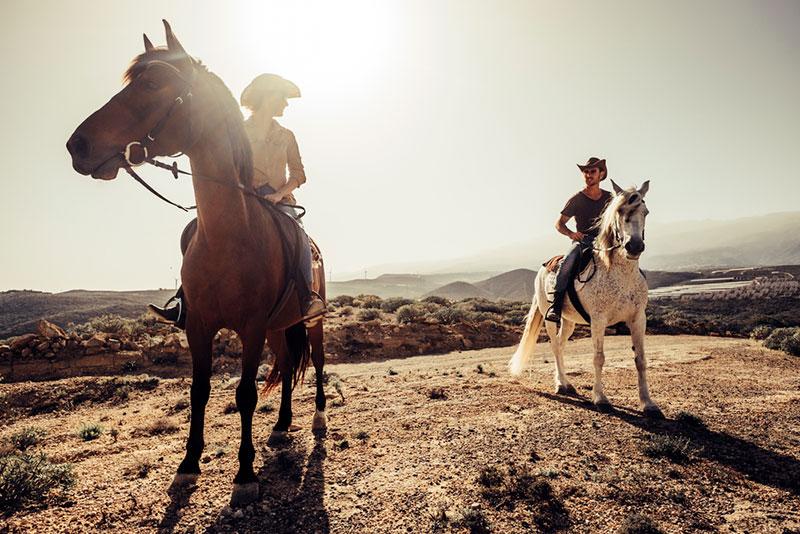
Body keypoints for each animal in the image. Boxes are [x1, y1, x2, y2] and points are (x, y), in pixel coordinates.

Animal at [65, 21, 326, 506]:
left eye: (152, 83)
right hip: (280, 326)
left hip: (310, 320)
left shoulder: (251, 327)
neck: (229, 237)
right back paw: (282, 425)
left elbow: (244, 394)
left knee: (315, 362)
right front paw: (187, 466)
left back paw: (317, 419)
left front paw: (244, 475)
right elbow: (199, 391)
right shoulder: (200, 325)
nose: (78, 145)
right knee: (286, 363)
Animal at [510, 180, 664, 418]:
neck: (618, 274)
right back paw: (561, 385)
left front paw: (648, 404)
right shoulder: (598, 321)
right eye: (620, 212)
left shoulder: (638, 319)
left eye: (645, 212)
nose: (635, 246)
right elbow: (598, 357)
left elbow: (640, 359)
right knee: (554, 346)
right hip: (549, 317)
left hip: (569, 322)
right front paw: (600, 399)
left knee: (561, 345)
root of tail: (543, 267)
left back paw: (565, 383)